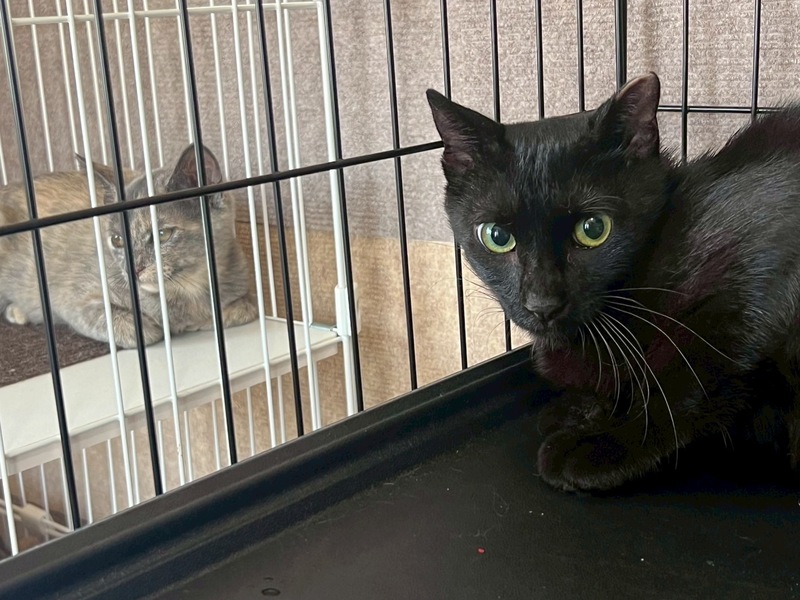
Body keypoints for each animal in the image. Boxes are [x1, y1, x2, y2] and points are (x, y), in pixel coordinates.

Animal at [0, 144, 258, 349]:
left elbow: (246, 308)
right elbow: (136, 329)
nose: (133, 269)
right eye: (117, 240)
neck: (187, 290)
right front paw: (154, 326)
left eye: (162, 234)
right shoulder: (72, 298)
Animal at [427, 72, 800, 492]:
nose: (542, 302)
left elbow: (688, 377)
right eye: (496, 236)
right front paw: (578, 409)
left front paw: (603, 444)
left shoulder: (759, 271)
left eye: (593, 229)